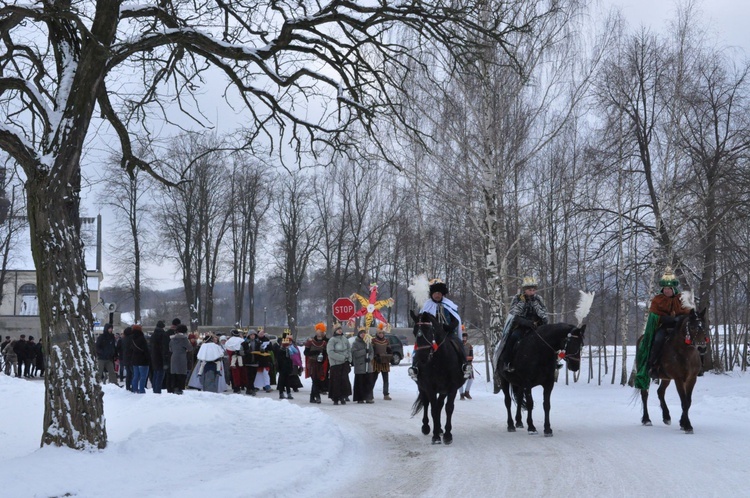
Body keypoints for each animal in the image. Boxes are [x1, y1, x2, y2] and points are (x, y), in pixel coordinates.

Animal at [408, 312, 468, 444]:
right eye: (414, 332)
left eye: (429, 330)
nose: (421, 357)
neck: (440, 360)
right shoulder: (429, 387)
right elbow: (433, 409)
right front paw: (435, 436)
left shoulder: (452, 388)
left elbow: (448, 408)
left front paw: (447, 435)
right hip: (422, 387)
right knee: (426, 404)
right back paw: (426, 427)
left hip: (443, 391)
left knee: (440, 405)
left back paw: (440, 429)